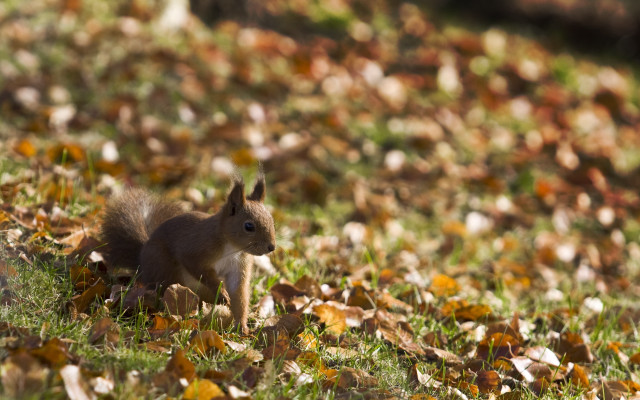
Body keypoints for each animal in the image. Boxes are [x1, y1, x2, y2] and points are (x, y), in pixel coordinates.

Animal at [100, 174, 276, 334]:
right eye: (248, 226)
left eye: (272, 220)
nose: (271, 247)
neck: (232, 248)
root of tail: (142, 261)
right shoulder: (195, 249)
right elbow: (198, 268)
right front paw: (221, 293)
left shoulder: (239, 265)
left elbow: (238, 293)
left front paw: (242, 326)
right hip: (164, 268)